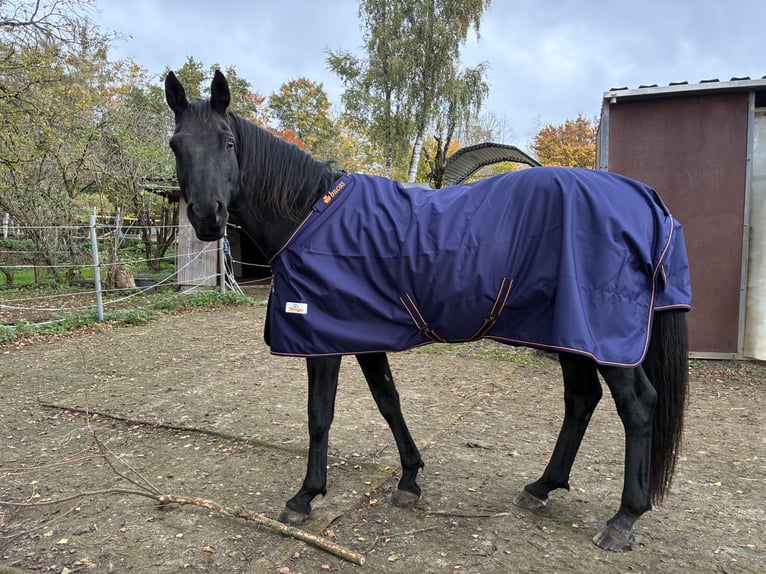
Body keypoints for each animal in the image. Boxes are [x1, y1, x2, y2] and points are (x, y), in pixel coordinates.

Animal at [164, 69, 691, 552]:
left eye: (229, 142)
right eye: (175, 145)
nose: (208, 218)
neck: (309, 214)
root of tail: (643, 198)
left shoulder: (322, 338)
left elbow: (320, 415)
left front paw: (305, 497)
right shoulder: (363, 332)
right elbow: (388, 399)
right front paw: (409, 478)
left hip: (602, 337)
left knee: (637, 405)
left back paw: (623, 519)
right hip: (569, 333)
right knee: (581, 399)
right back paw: (541, 487)